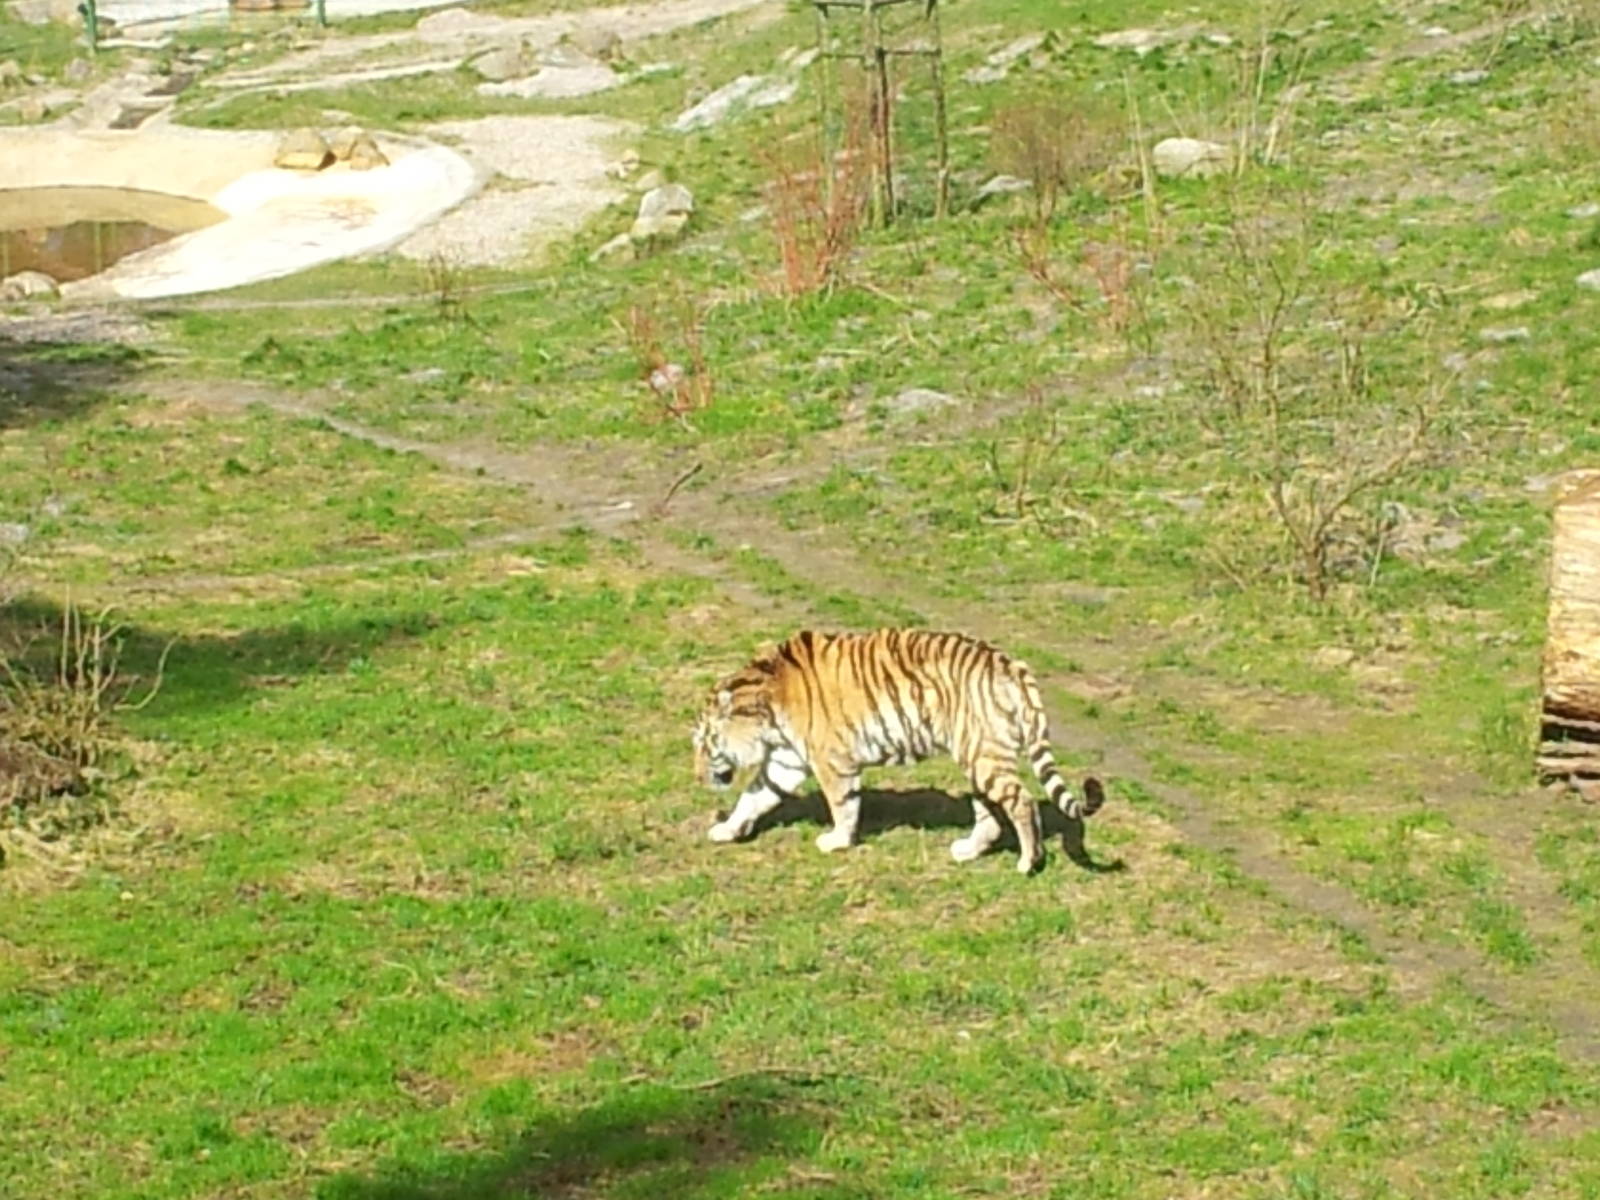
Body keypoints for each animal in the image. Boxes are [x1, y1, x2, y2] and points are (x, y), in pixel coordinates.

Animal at [691, 628, 1106, 874]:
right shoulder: (786, 762)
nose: (696, 777)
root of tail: (1012, 665)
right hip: (977, 759)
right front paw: (726, 829)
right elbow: (753, 798)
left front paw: (837, 841)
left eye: (704, 743)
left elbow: (842, 805)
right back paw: (967, 851)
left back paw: (1028, 862)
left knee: (1022, 802)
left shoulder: (831, 761)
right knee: (990, 814)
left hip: (983, 756)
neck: (767, 705)